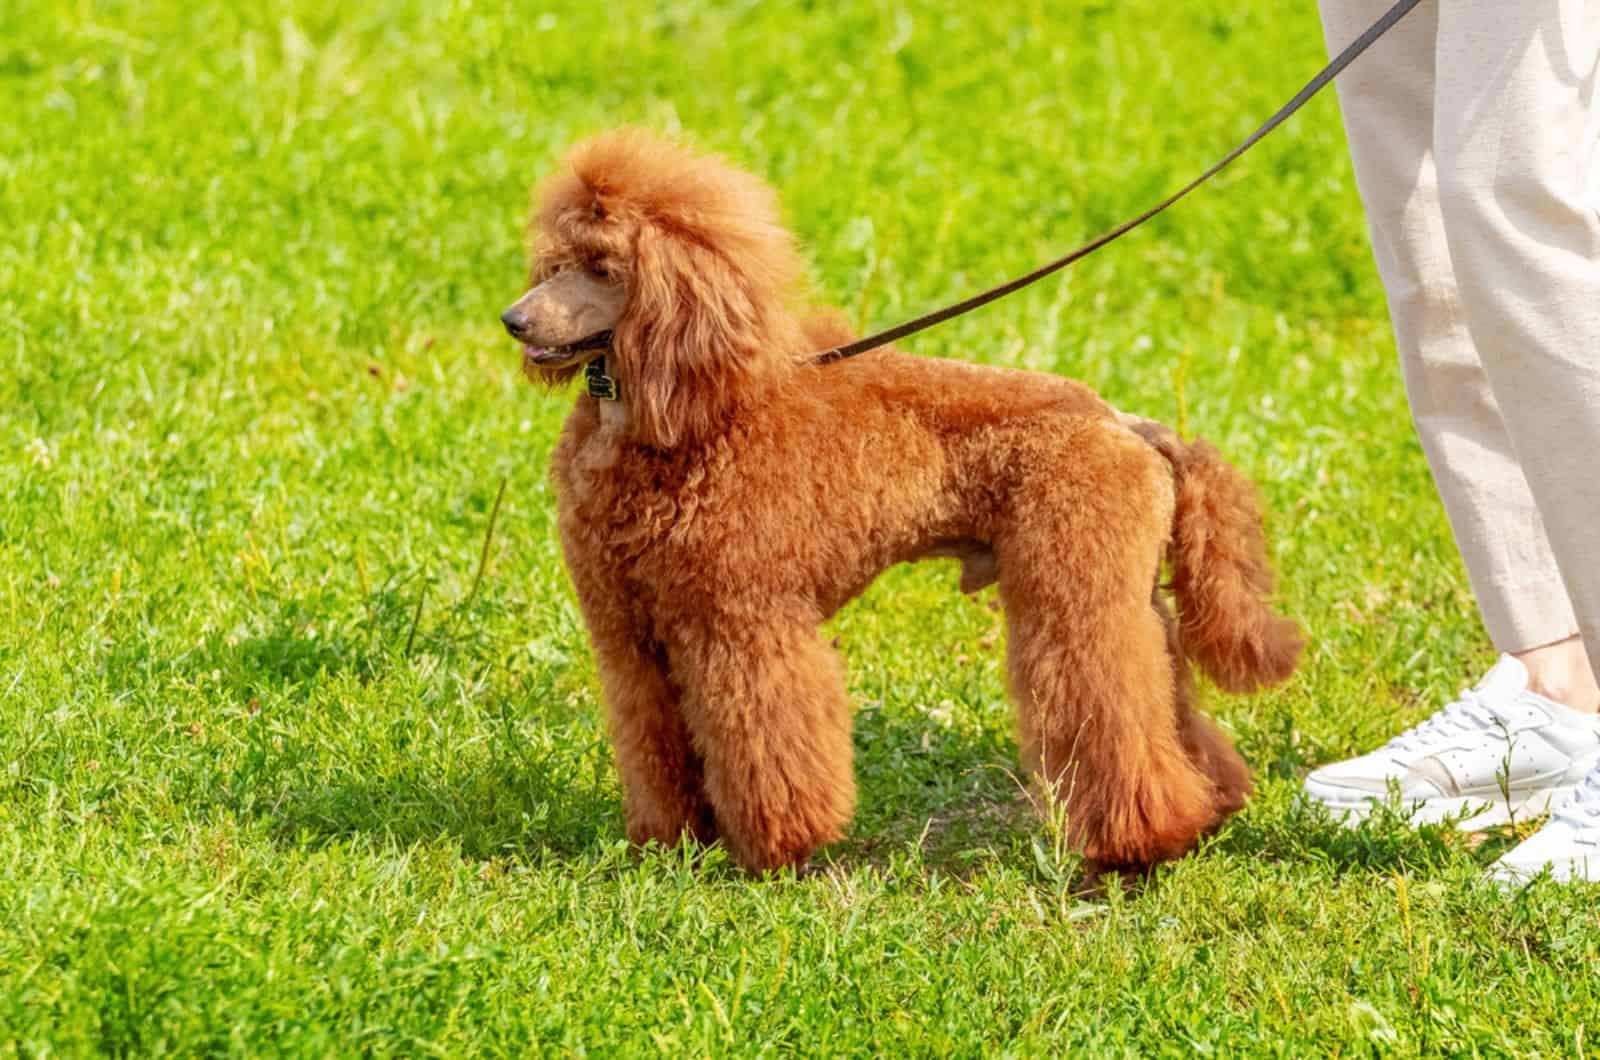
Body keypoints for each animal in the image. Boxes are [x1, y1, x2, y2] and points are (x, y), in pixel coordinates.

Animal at [505, 132, 1305, 877]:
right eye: (555, 261)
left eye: (605, 269)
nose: (515, 319)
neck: (675, 418)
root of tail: (1125, 424)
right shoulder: (632, 636)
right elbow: (653, 736)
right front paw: (673, 843)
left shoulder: (742, 623)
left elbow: (765, 739)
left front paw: (777, 852)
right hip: (1137, 605)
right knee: (1172, 707)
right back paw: (1210, 806)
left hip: (1075, 594)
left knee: (1112, 713)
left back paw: (1140, 842)